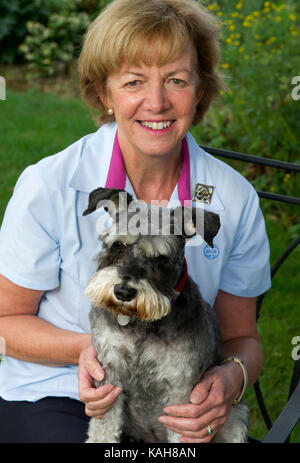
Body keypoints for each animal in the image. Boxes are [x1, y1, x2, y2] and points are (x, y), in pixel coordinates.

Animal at [82, 188, 248, 446]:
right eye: (118, 246)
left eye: (159, 259)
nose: (123, 292)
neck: (141, 323)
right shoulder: (110, 375)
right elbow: (103, 428)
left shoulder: (181, 393)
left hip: (235, 417)